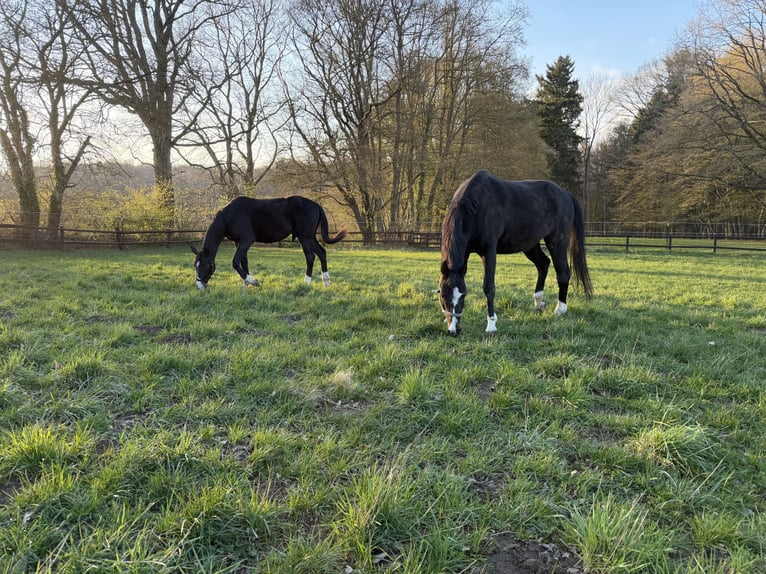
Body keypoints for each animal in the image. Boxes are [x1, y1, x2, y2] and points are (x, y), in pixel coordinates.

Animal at [191, 196, 347, 290]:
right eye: (195, 266)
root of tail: (315, 204)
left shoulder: (247, 240)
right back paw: (326, 282)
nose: (199, 286)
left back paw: (306, 282)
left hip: (305, 237)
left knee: (310, 256)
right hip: (310, 237)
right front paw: (246, 283)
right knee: (322, 253)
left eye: (204, 265)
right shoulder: (239, 242)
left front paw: (253, 281)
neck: (230, 216)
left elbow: (235, 262)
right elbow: (243, 262)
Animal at [439, 169, 593, 335]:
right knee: (543, 264)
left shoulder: (489, 251)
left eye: (463, 294)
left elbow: (489, 287)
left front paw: (491, 324)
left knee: (563, 273)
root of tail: (566, 195)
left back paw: (560, 309)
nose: (454, 330)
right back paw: (538, 303)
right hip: (530, 244)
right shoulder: (466, 252)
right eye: (443, 294)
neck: (477, 206)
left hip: (557, 242)